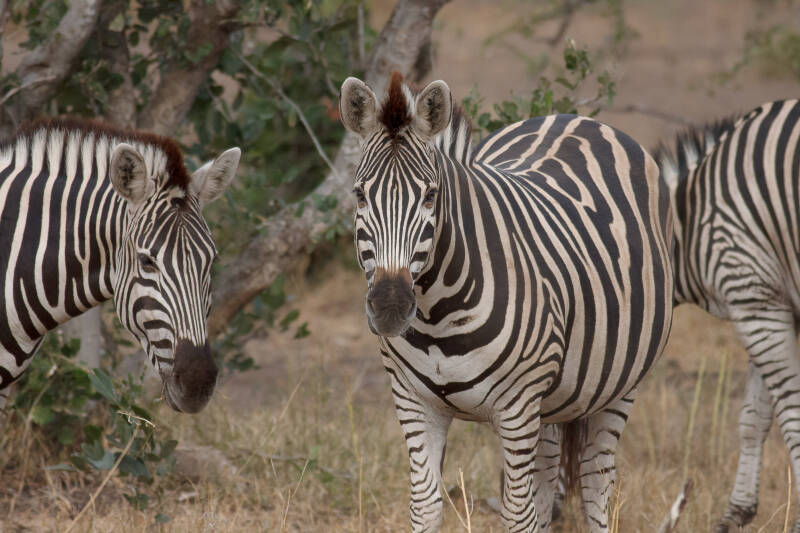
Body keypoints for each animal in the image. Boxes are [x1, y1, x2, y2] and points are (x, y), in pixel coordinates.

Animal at [339, 72, 674, 532]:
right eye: (359, 196)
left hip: (619, 385)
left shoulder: (516, 406)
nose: (390, 306)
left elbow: (517, 513)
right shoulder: (413, 402)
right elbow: (424, 505)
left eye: (430, 196)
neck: (437, 316)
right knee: (548, 479)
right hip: (552, 399)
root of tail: (573, 117)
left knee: (594, 483)